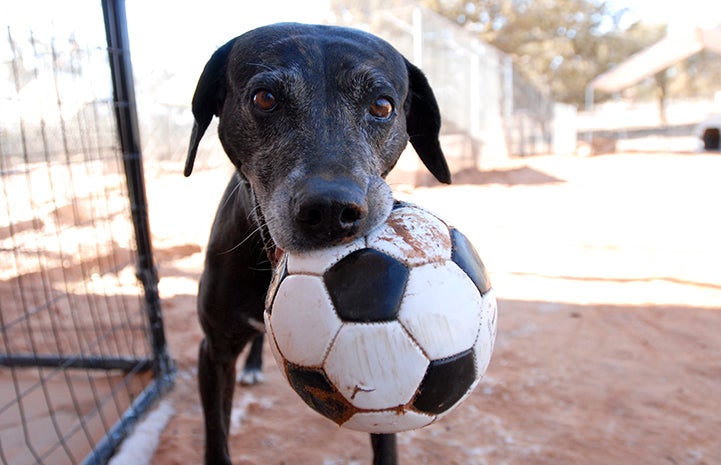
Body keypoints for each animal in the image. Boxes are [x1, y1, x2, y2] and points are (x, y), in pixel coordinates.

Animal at [186, 22, 452, 464]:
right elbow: (216, 441)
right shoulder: (214, 352)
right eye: (265, 98)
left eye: (382, 106)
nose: (330, 211)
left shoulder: (389, 402)